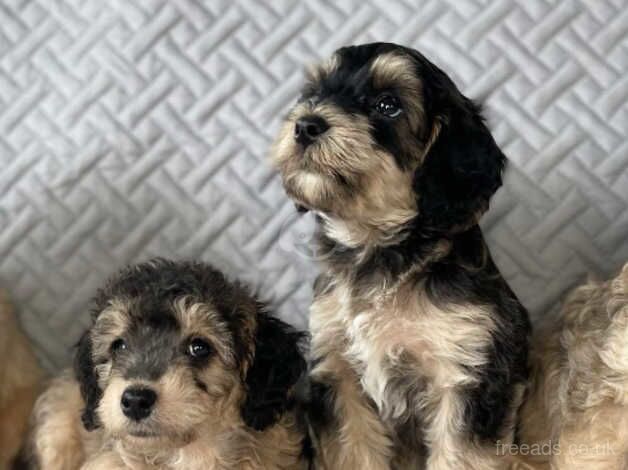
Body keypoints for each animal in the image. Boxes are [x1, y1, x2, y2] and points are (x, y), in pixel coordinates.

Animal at [270, 42, 528, 468]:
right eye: (314, 93)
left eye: (387, 105)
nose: (306, 124)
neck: (376, 245)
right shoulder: (339, 375)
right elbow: (355, 453)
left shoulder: (466, 373)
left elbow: (458, 455)